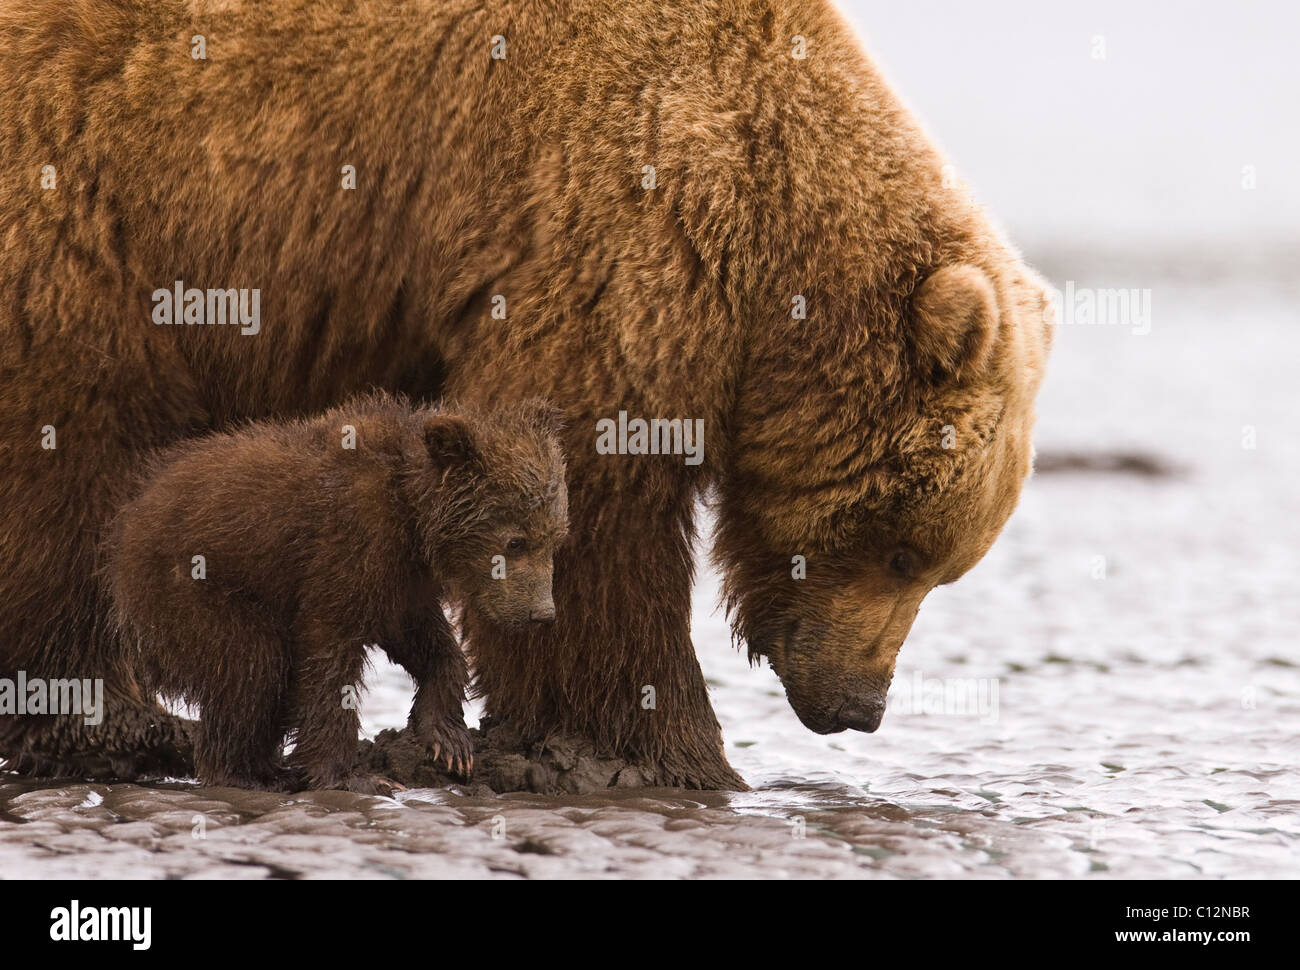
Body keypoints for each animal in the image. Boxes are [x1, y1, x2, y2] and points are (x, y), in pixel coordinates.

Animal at [103, 394, 567, 792]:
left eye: (555, 538)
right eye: (515, 541)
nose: (542, 613)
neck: (412, 511)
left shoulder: (401, 577)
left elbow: (422, 637)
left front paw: (450, 741)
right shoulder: (348, 543)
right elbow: (329, 653)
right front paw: (351, 776)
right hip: (190, 593)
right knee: (252, 663)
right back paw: (242, 771)